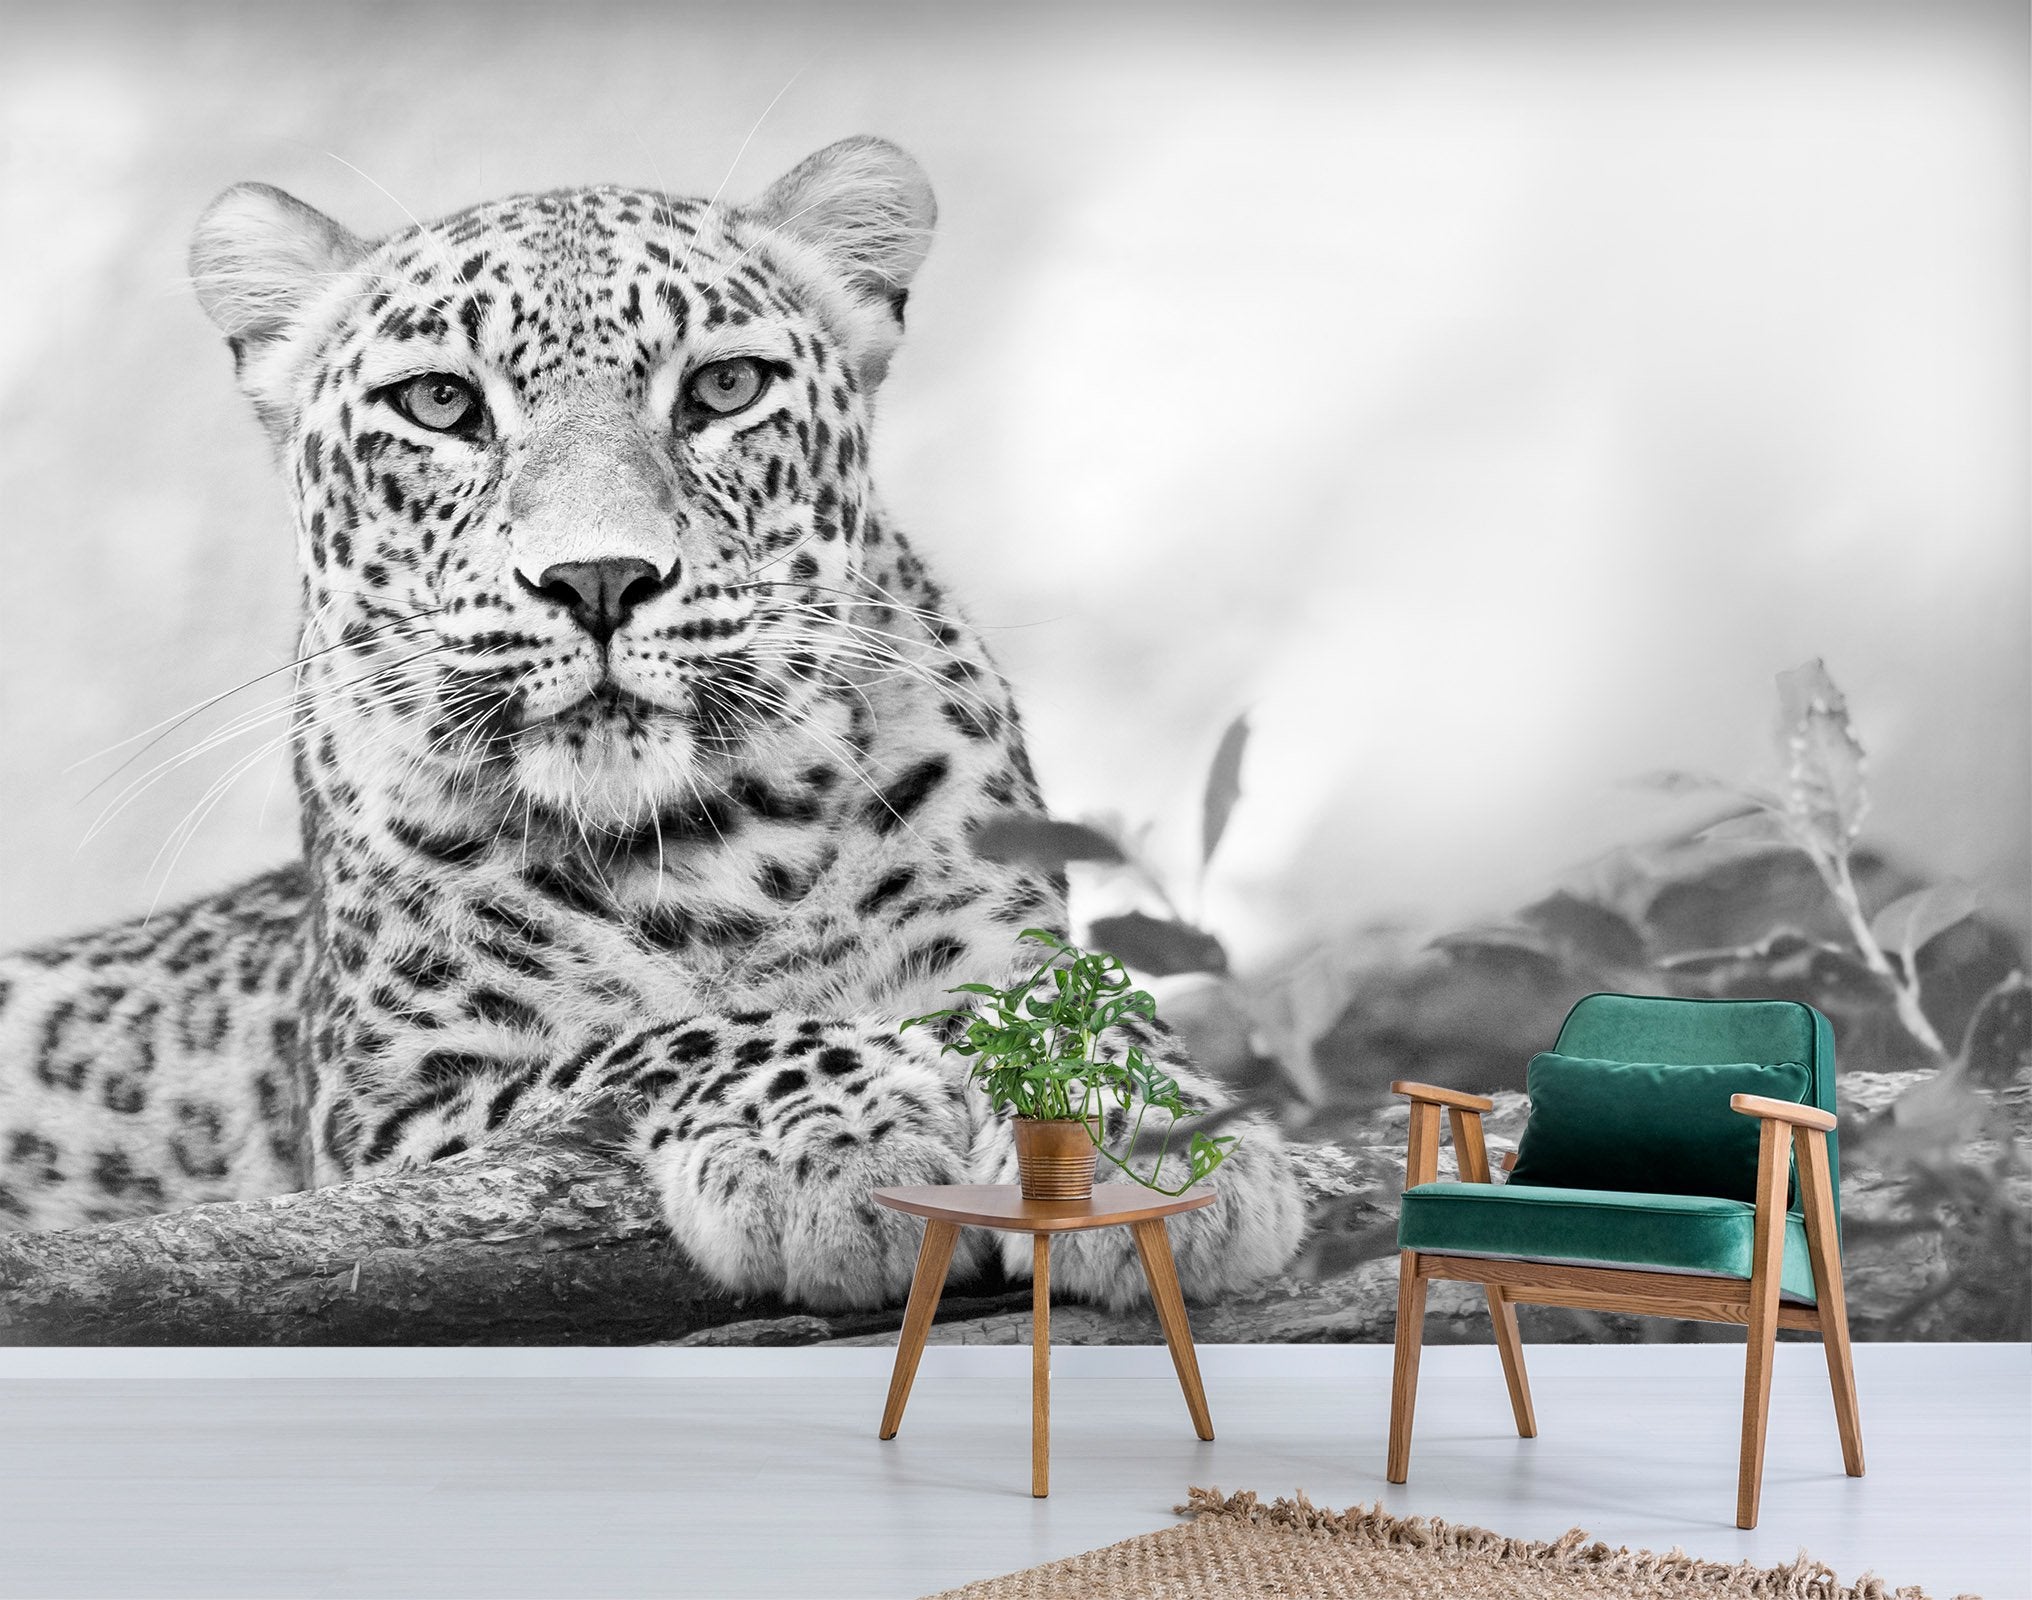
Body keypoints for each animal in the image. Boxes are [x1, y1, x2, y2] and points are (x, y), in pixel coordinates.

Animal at [0, 136, 1304, 1315]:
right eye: (440, 403)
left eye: (724, 388)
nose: (599, 578)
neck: (713, 849)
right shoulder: (387, 1116)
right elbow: (662, 1039)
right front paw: (834, 1134)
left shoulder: (999, 941)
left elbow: (1079, 1013)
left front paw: (1159, 1141)